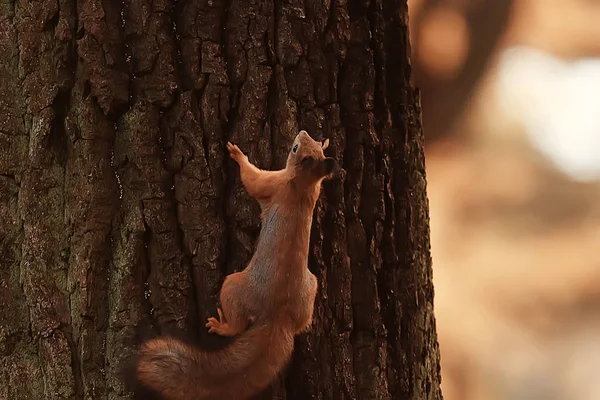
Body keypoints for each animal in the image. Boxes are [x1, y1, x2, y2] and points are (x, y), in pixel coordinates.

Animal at [131, 131, 338, 400]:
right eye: (310, 142)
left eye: (295, 149)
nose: (301, 132)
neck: (304, 184)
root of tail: (278, 315)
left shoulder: (274, 183)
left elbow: (253, 180)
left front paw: (238, 155)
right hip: (309, 287)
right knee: (301, 322)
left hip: (232, 286)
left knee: (237, 324)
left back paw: (223, 326)